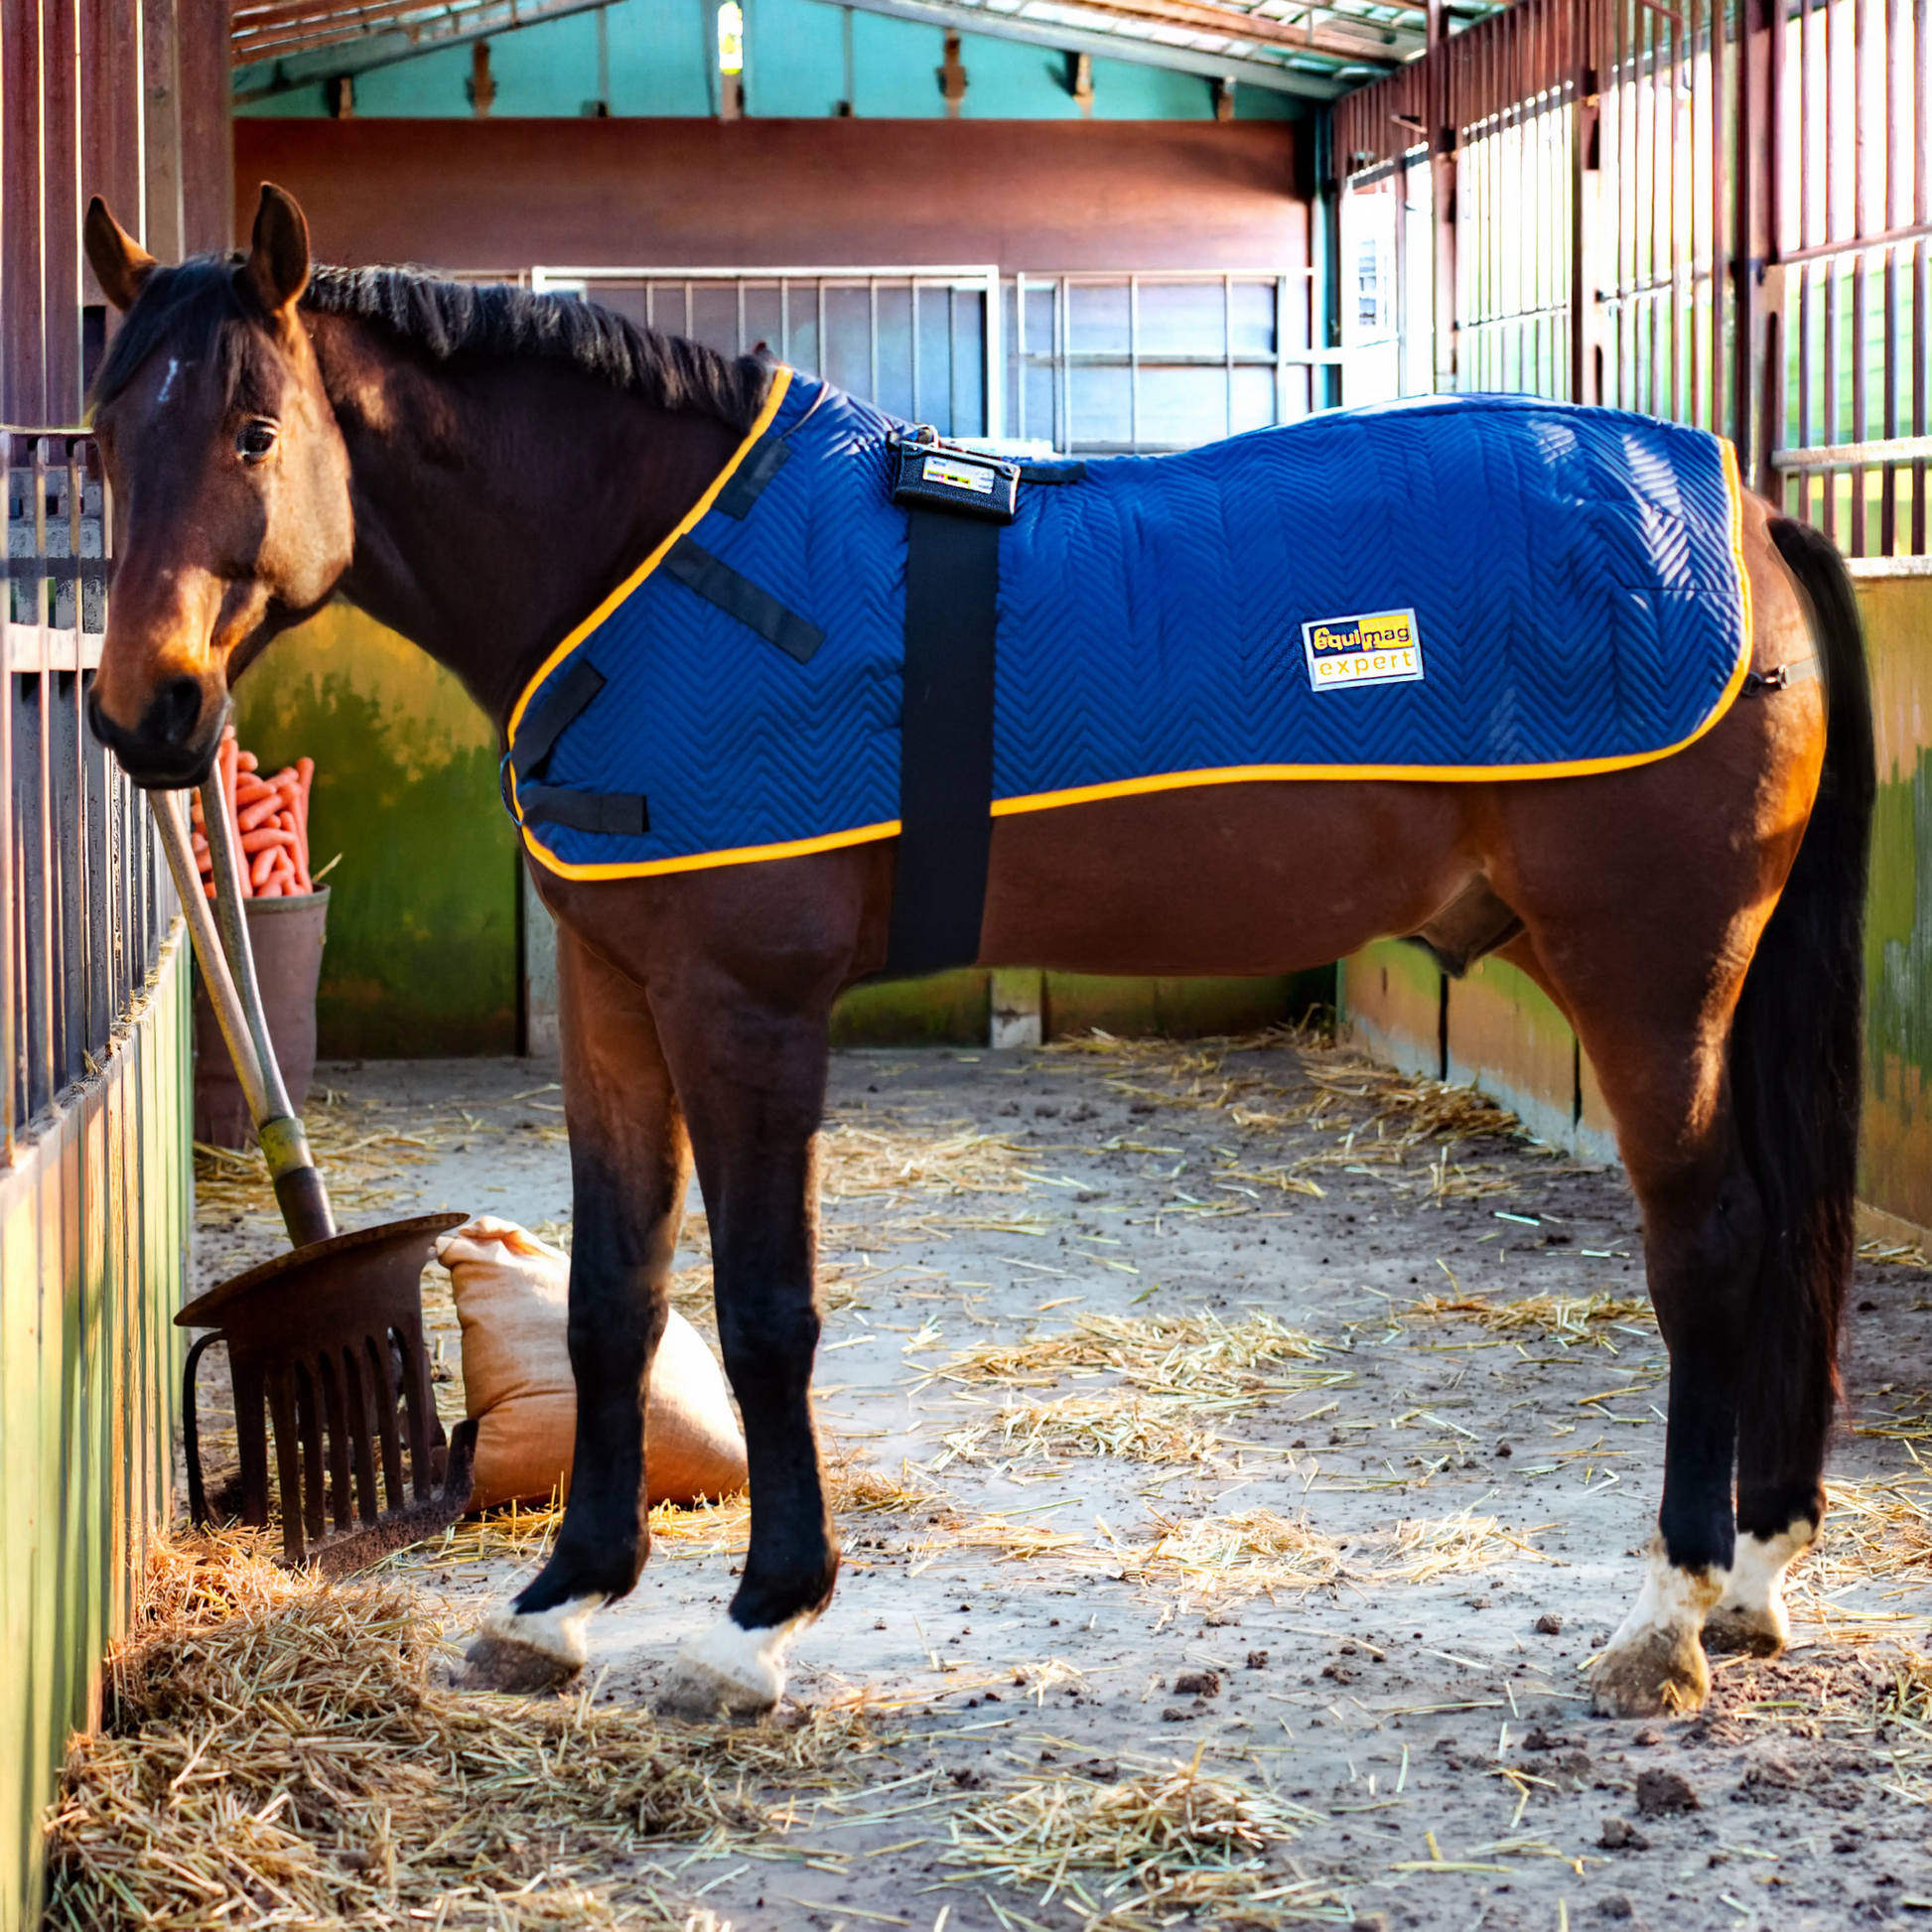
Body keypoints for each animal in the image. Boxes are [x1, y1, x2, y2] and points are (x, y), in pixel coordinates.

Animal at [80, 183, 1873, 1722]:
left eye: (255, 427)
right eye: (100, 438)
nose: (142, 714)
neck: (646, 565)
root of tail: (1747, 510)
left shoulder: (747, 1009)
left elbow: (765, 1309)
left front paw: (759, 1623)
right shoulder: (609, 997)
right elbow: (610, 1299)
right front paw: (565, 1600)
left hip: (1645, 971)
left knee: (1708, 1244)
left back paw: (1666, 1609)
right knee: (1772, 1232)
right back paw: (1756, 1573)